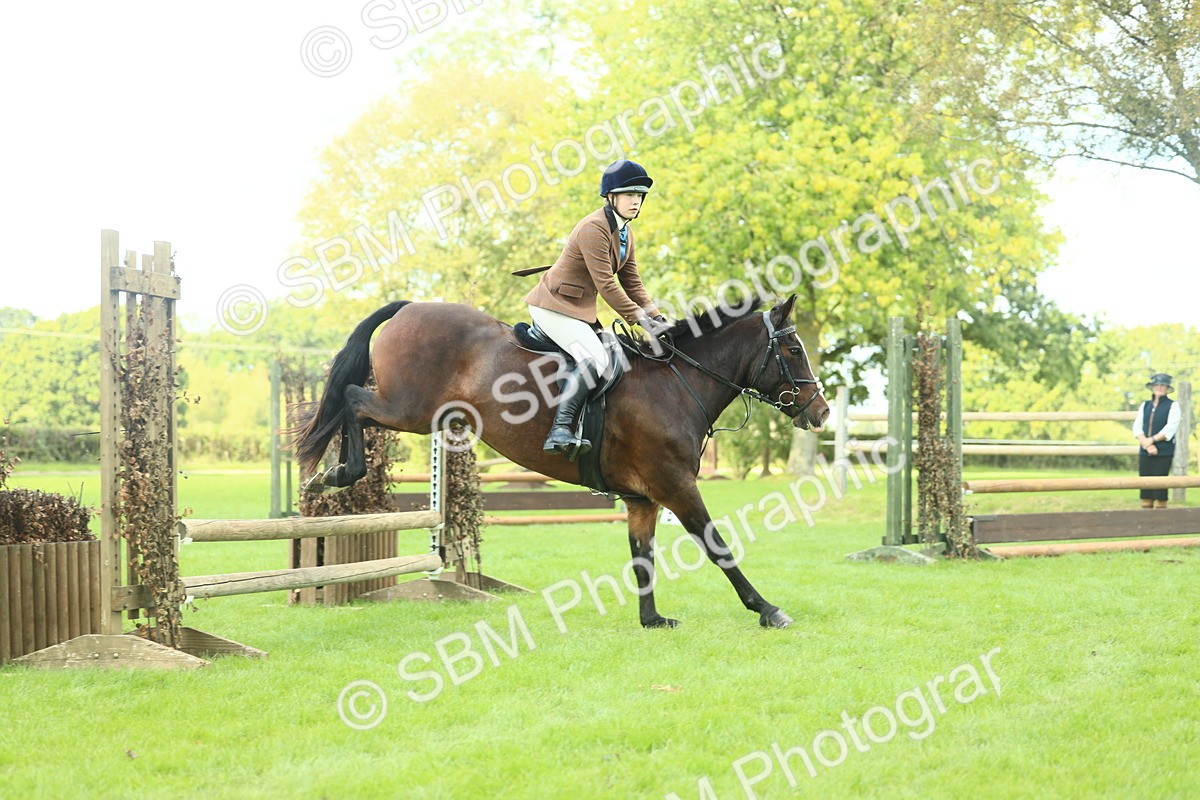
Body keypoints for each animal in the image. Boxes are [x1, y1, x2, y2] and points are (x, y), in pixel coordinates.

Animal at [294, 294, 830, 629]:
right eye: (793, 348)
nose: (821, 412)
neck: (677, 383)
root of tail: (410, 307)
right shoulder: (676, 487)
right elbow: (718, 547)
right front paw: (767, 609)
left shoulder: (643, 499)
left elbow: (642, 558)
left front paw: (652, 619)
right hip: (412, 410)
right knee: (353, 399)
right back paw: (337, 473)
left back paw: (331, 475)